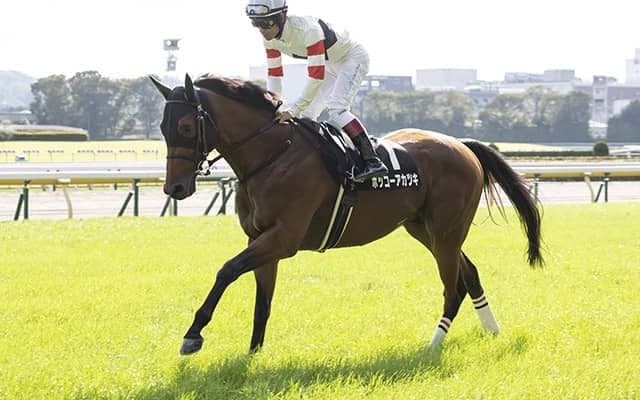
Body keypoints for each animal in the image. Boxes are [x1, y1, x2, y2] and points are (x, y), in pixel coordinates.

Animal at [150, 73, 543, 356]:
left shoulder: (283, 239)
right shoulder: (260, 238)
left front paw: (193, 334)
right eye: (162, 128)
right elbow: (263, 299)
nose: (175, 188)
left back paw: (432, 345)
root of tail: (464, 145)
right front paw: (252, 354)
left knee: (452, 286)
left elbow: (227, 270)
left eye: (186, 127)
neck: (274, 155)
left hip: (445, 232)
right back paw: (491, 329)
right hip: (425, 230)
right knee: (469, 273)